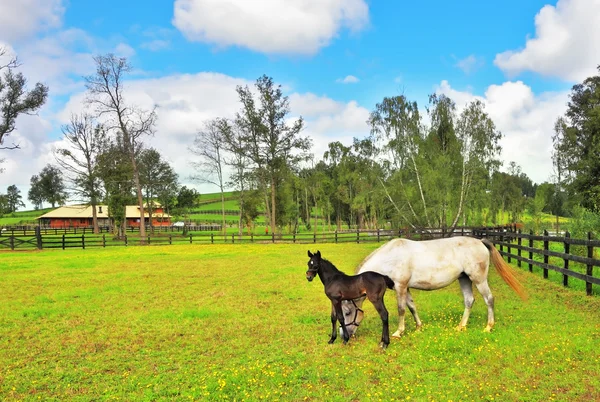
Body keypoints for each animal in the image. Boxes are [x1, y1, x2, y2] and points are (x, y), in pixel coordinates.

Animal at [340, 237, 528, 338]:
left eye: (347, 312)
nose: (344, 336)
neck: (391, 258)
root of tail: (480, 242)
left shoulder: (401, 286)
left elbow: (401, 309)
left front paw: (399, 332)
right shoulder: (406, 288)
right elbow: (412, 307)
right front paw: (418, 327)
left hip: (479, 279)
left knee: (489, 299)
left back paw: (488, 327)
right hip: (464, 279)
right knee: (469, 300)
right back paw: (461, 326)